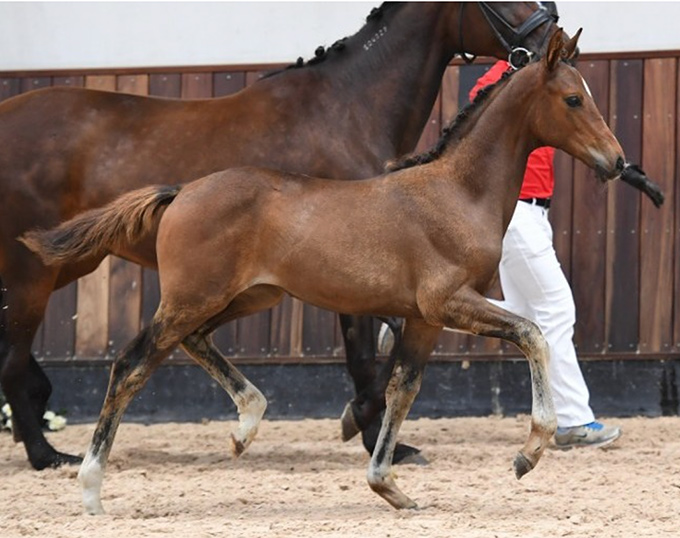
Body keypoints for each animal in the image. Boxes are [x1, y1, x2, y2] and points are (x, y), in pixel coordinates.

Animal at [23, 26, 624, 510]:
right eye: (573, 98)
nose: (617, 161)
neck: (458, 192)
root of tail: (181, 192)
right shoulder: (448, 302)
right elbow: (533, 333)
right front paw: (529, 452)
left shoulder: (424, 319)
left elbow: (402, 388)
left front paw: (388, 485)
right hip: (193, 298)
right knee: (131, 365)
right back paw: (91, 488)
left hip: (245, 296)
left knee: (192, 342)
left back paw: (245, 425)